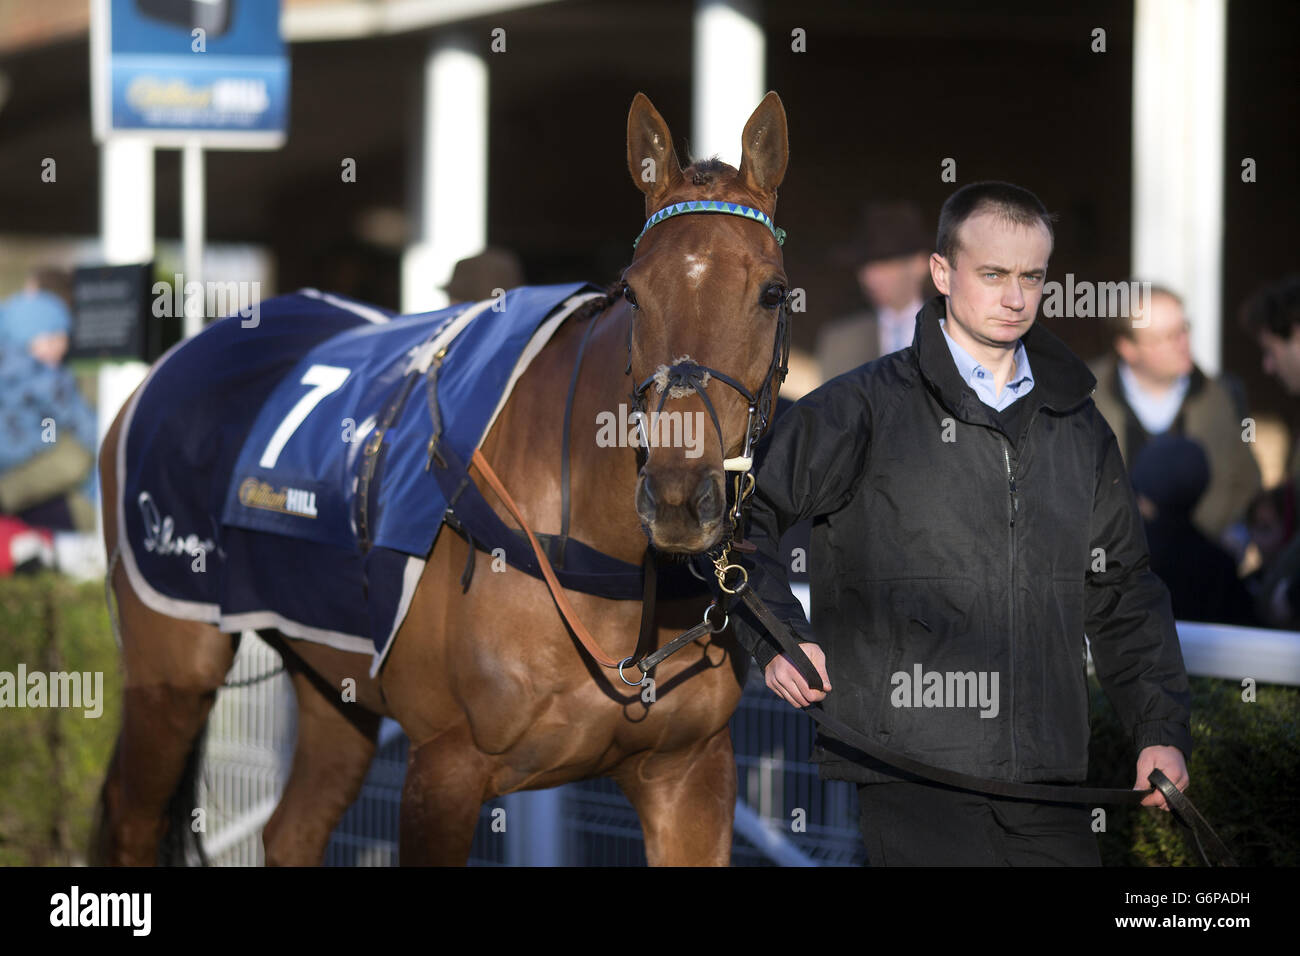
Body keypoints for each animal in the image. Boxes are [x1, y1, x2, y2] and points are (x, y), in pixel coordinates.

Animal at [91, 91, 790, 868]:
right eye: (633, 294)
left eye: (772, 293)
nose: (677, 500)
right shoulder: (444, 769)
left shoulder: (689, 771)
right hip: (172, 664)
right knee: (132, 821)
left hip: (331, 676)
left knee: (292, 827)